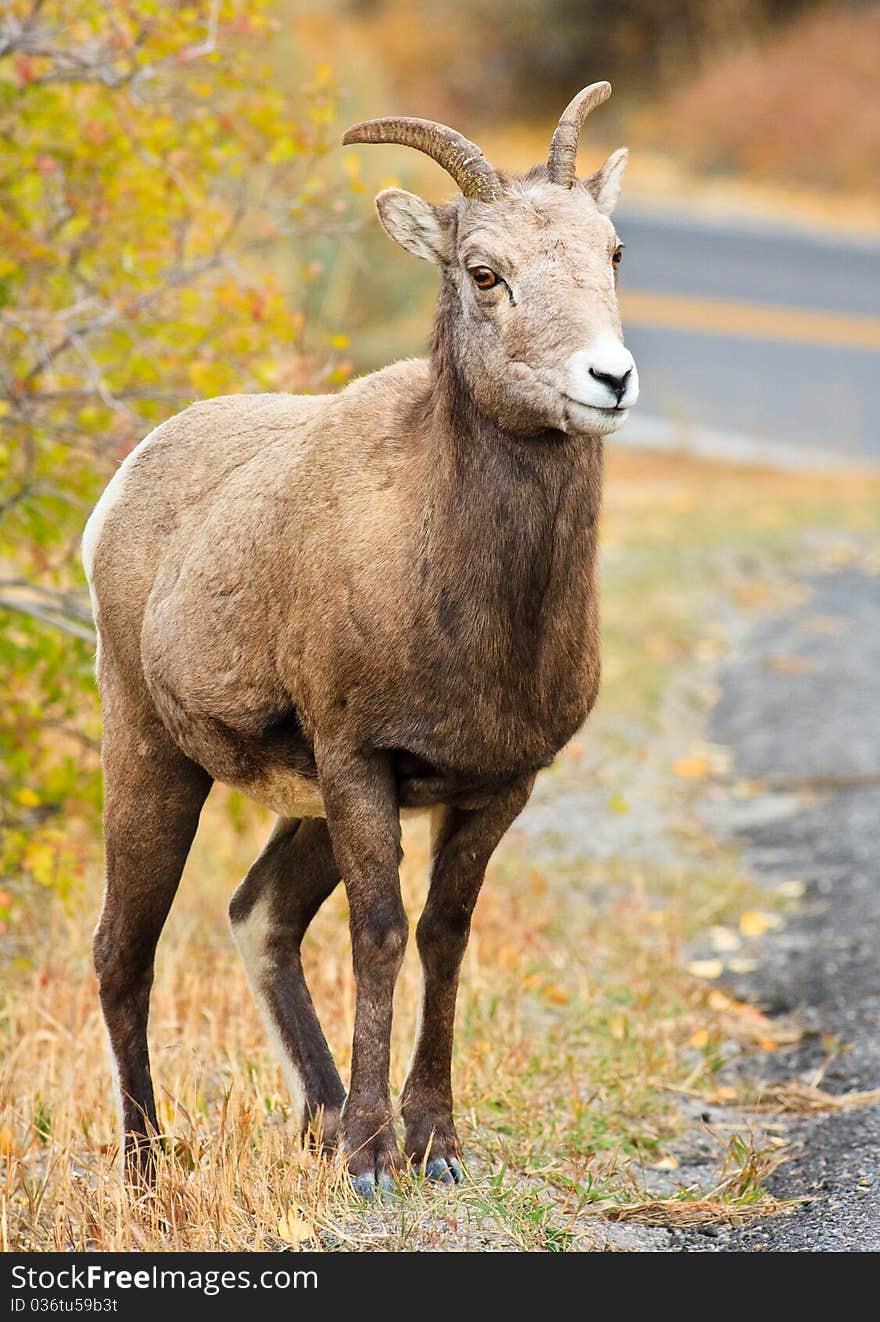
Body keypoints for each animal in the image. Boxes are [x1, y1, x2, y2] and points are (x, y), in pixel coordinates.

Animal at [83, 82, 636, 1200]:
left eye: (612, 252)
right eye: (484, 272)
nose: (609, 379)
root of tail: (122, 489)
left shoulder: (494, 786)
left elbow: (443, 937)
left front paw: (435, 1143)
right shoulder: (357, 761)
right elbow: (380, 935)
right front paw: (376, 1160)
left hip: (296, 806)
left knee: (258, 914)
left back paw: (322, 1114)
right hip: (156, 757)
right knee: (125, 950)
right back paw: (151, 1172)